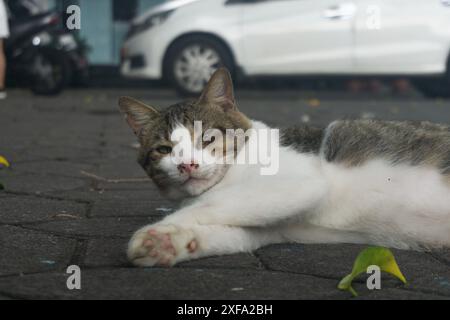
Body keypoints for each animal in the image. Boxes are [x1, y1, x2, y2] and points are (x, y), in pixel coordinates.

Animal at [118, 68, 450, 268]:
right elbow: (229, 232)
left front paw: (159, 230)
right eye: (164, 149)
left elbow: (205, 204)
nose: (187, 164)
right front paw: (166, 243)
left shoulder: (295, 184)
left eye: (208, 138)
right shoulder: (272, 224)